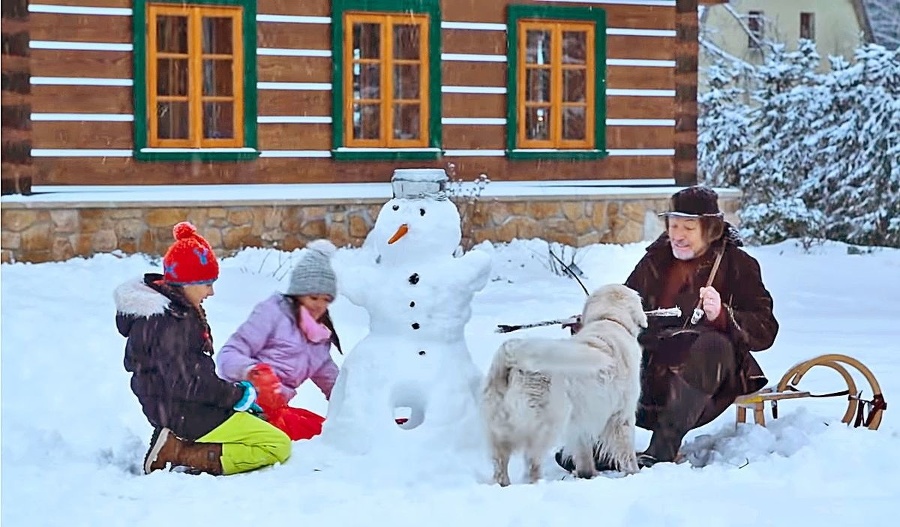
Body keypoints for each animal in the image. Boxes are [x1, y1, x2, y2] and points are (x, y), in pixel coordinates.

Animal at [486, 284, 648, 486]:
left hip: (499, 431)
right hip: (544, 426)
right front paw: (634, 473)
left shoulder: (582, 419)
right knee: (532, 463)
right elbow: (627, 453)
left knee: (500, 464)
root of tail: (512, 355)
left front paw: (588, 475)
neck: (609, 319)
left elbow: (584, 454)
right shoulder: (621, 416)